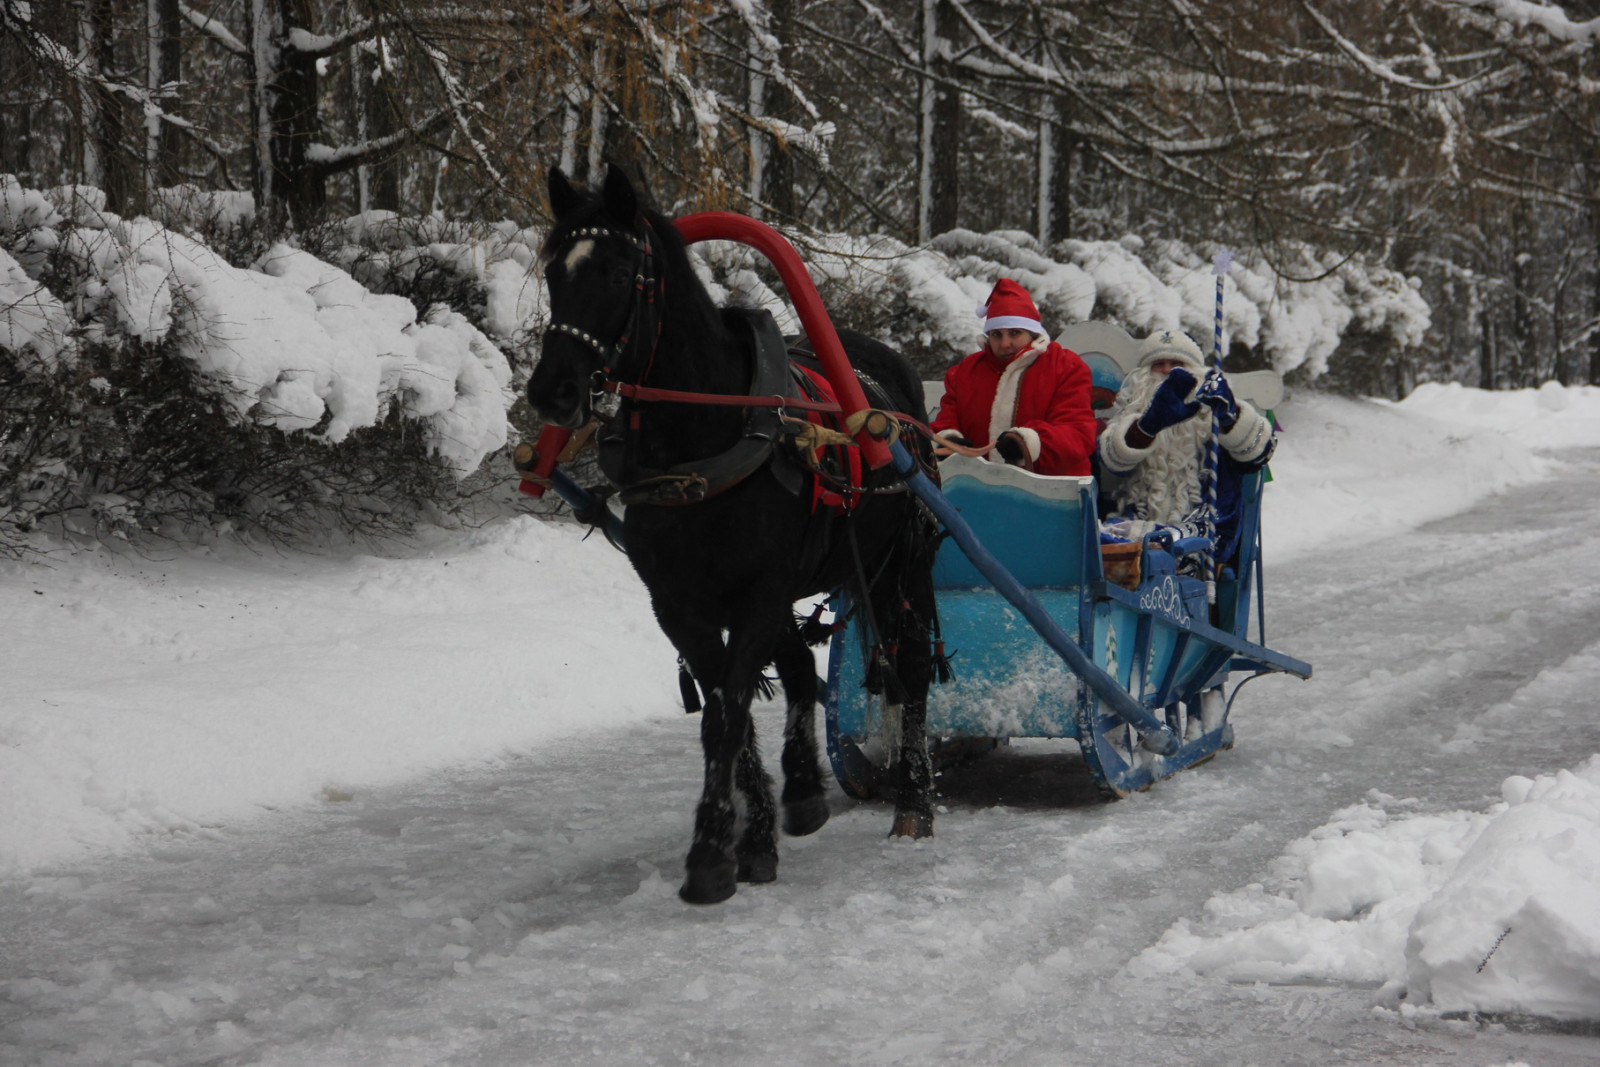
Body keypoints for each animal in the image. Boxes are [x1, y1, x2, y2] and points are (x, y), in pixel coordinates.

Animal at [528, 167, 934, 902]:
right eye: (553, 271)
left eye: (618, 271)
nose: (552, 390)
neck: (701, 439)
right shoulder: (678, 603)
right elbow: (731, 708)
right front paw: (754, 834)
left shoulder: (758, 593)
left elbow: (728, 712)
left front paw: (712, 851)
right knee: (799, 669)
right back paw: (803, 787)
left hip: (901, 562)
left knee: (912, 664)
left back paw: (915, 802)